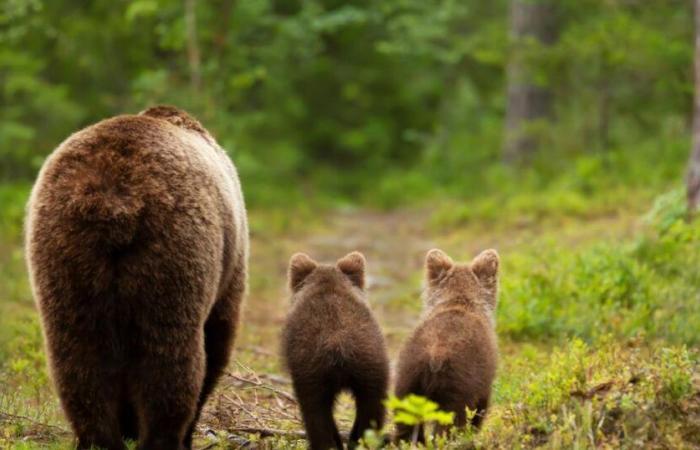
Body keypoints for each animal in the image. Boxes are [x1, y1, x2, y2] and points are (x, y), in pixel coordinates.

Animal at [23, 105, 249, 450]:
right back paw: (163, 437)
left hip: (64, 252)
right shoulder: (229, 266)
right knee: (168, 356)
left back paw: (97, 438)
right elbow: (218, 336)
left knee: (78, 355)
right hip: (173, 252)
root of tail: (112, 199)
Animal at [394, 250, 498, 442]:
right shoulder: (483, 379)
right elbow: (481, 407)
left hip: (407, 378)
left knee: (405, 423)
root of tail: (434, 356)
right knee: (450, 423)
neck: (459, 299)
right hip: (458, 384)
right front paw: (475, 431)